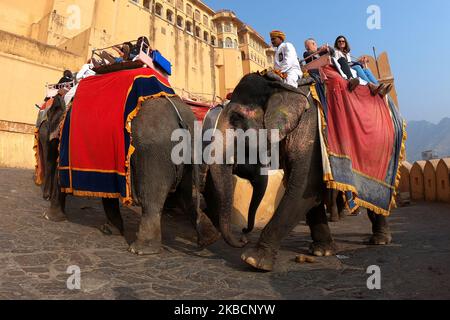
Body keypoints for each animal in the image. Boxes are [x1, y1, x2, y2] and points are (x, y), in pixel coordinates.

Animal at [39, 94, 220, 255]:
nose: (44, 196)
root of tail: (182, 118)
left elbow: (61, 178)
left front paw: (49, 217)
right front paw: (110, 230)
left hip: (154, 155)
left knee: (153, 198)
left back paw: (139, 249)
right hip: (187, 156)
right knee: (183, 197)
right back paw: (209, 239)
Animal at [208, 73, 394, 272]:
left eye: (236, 118)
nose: (243, 236)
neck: (281, 87)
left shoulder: (311, 135)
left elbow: (303, 189)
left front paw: (254, 260)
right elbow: (309, 193)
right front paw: (322, 251)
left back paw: (380, 240)